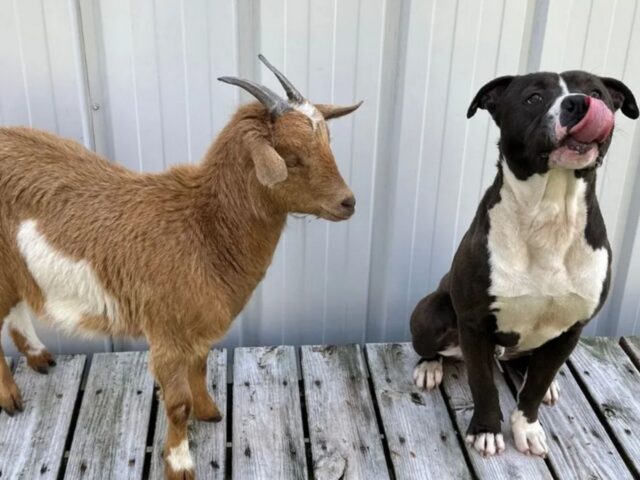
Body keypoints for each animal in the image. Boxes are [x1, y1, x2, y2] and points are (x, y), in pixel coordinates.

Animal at [0, 54, 360, 478]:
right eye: (289, 157)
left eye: (327, 143)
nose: (348, 202)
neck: (202, 226)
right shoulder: (167, 333)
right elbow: (176, 404)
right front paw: (180, 462)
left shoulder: (197, 329)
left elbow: (200, 370)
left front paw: (210, 412)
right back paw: (10, 398)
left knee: (16, 308)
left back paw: (40, 357)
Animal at [410, 70, 636, 458]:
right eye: (533, 98)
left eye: (596, 92)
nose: (579, 103)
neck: (551, 213)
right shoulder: (475, 324)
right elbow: (483, 384)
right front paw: (487, 430)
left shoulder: (571, 329)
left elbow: (534, 387)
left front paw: (526, 427)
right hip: (430, 313)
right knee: (432, 346)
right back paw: (429, 367)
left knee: (533, 368)